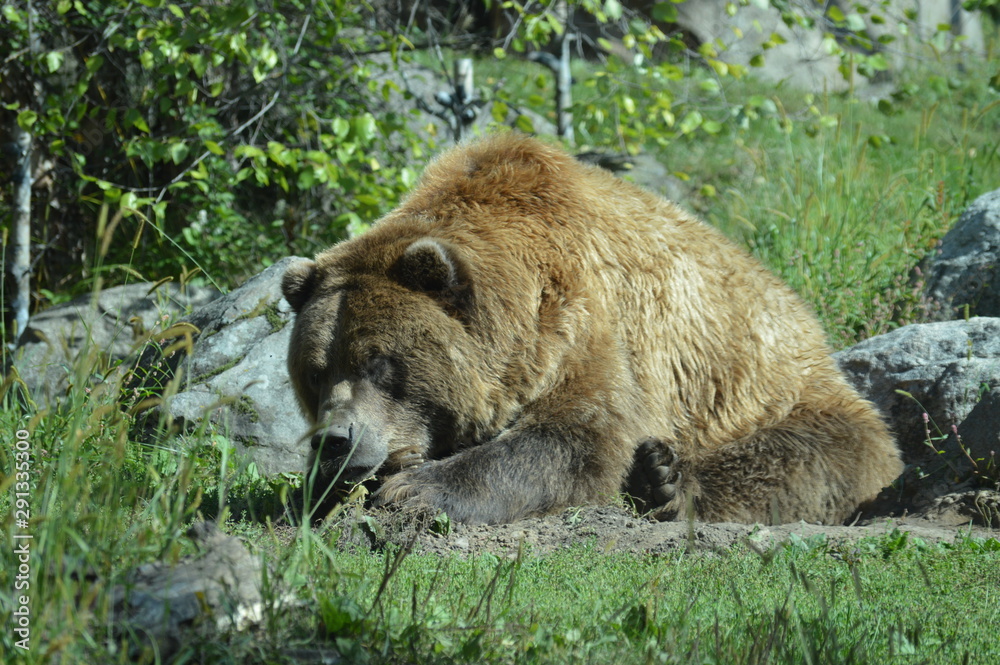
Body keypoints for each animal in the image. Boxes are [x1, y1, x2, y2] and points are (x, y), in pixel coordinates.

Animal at [281, 132, 903, 525]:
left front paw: (415, 489)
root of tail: (804, 314)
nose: (337, 440)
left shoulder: (584, 320)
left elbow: (580, 435)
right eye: (314, 372)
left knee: (803, 458)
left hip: (776, 389)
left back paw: (665, 481)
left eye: (380, 362)